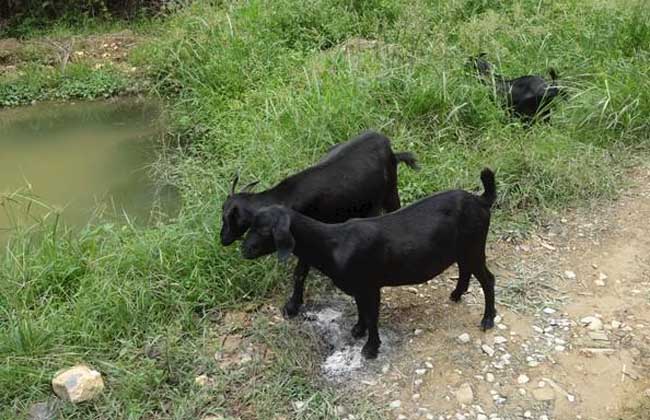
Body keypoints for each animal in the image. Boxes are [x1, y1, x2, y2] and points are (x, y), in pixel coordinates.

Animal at [220, 131, 418, 318]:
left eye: (228, 218)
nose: (223, 239)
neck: (284, 197)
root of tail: (387, 145)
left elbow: (299, 273)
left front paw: (292, 306)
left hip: (390, 192)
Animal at [242, 169, 496, 360]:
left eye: (264, 230)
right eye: (251, 225)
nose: (244, 250)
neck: (333, 244)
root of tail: (480, 200)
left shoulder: (370, 285)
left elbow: (372, 315)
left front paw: (370, 348)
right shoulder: (358, 287)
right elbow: (361, 309)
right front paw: (357, 330)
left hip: (474, 246)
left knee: (487, 279)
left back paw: (487, 319)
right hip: (463, 250)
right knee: (465, 269)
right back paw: (457, 294)